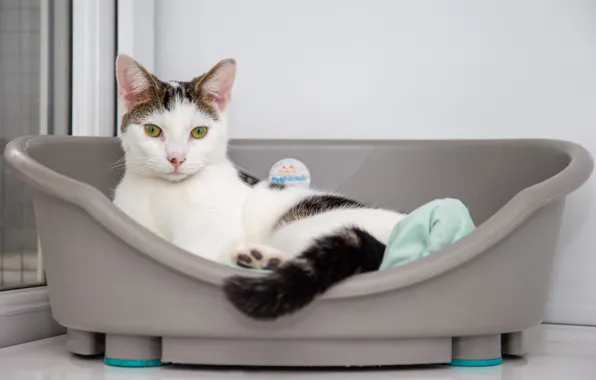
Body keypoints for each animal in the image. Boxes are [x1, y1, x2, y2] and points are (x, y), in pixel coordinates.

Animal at [114, 54, 408, 320]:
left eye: (198, 132)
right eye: (153, 130)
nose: (176, 158)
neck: (162, 192)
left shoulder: (207, 238)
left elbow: (191, 251)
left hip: (300, 227)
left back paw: (259, 259)